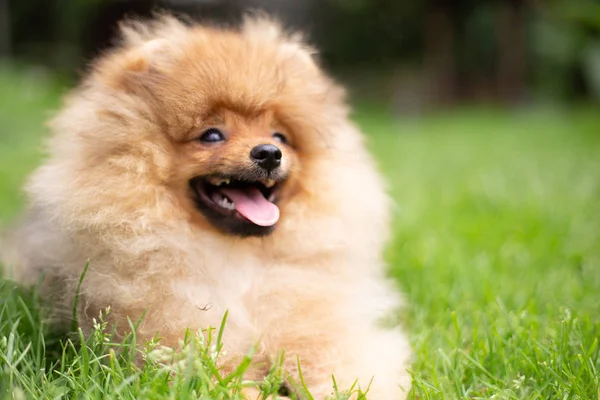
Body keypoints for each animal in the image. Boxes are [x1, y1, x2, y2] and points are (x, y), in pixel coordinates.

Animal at [8, 14, 412, 398]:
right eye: (212, 135)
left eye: (280, 136)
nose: (269, 153)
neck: (238, 262)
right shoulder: (169, 338)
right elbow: (219, 376)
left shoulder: (316, 317)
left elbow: (339, 360)